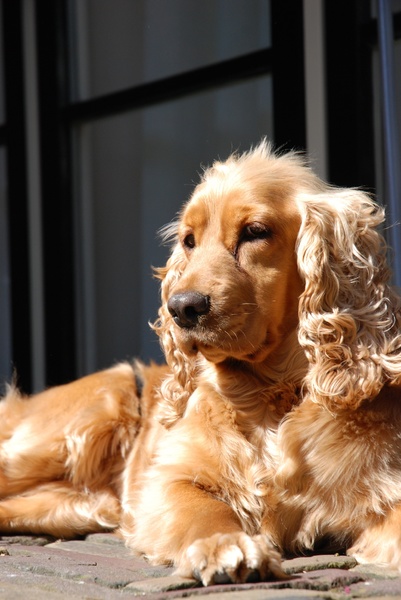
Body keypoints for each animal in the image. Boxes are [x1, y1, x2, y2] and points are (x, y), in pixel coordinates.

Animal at [0, 141, 400, 584]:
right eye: (189, 240)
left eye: (255, 232)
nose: (182, 307)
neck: (270, 393)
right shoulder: (170, 480)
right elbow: (205, 510)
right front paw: (225, 546)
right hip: (85, 420)